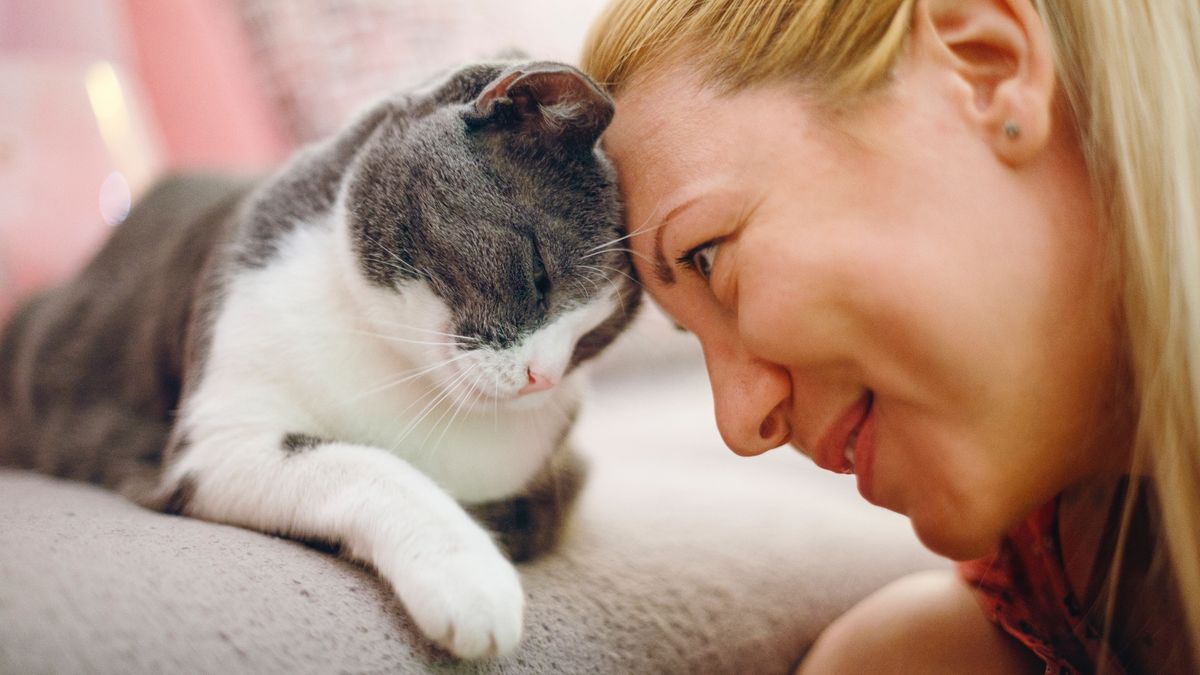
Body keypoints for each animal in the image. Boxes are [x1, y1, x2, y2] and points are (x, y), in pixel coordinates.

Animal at [0, 60, 638, 653]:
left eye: (593, 339)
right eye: (539, 275)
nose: (541, 378)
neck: (399, 372)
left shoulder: (561, 471)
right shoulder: (218, 442)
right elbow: (367, 466)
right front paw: (470, 576)